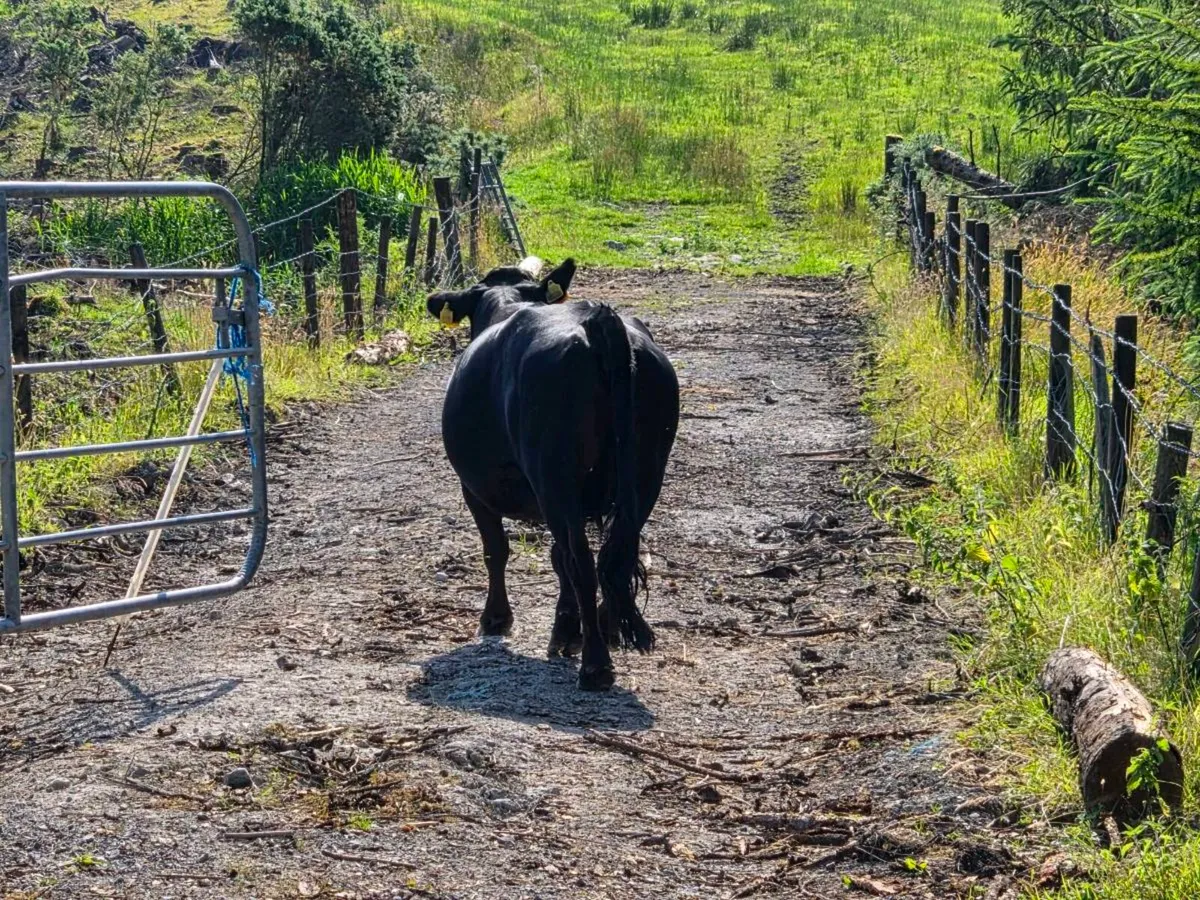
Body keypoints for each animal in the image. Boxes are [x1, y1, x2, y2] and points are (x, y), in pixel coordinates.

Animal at [427, 259, 679, 691]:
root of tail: (598, 319)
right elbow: (556, 556)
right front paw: (566, 630)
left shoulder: (474, 489)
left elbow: (497, 549)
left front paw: (497, 619)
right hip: (647, 472)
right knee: (614, 553)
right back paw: (611, 629)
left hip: (555, 475)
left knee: (583, 561)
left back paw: (595, 665)